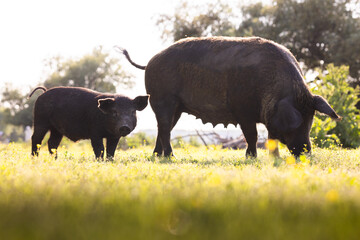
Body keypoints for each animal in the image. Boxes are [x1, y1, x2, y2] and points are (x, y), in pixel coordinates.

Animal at [119, 36, 340, 158]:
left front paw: (272, 156)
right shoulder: (242, 110)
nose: (306, 151)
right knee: (164, 128)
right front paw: (251, 157)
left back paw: (158, 155)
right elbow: (252, 135)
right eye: (298, 122)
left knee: (162, 128)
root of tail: (149, 62)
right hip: (162, 99)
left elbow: (269, 138)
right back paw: (171, 156)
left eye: (311, 119)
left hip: (177, 107)